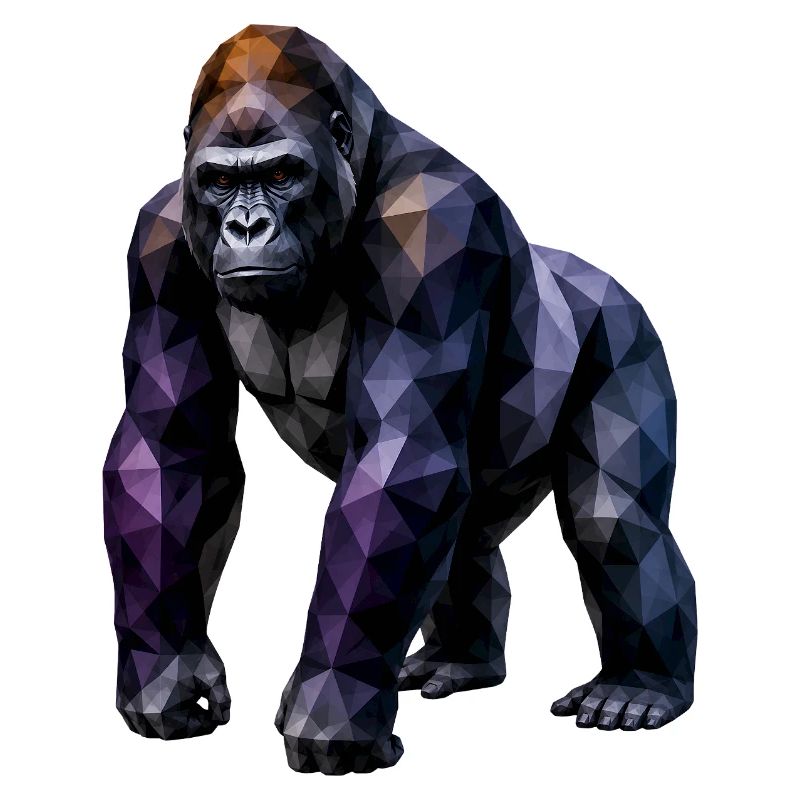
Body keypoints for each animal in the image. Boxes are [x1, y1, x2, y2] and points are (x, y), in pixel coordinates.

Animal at [103, 25, 697, 774]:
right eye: (220, 181)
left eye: (281, 175)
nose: (246, 228)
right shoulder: (157, 244)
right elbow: (171, 451)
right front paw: (167, 674)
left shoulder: (435, 228)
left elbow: (404, 460)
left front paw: (332, 711)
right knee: (468, 530)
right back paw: (461, 659)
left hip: (626, 330)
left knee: (612, 519)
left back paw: (641, 686)